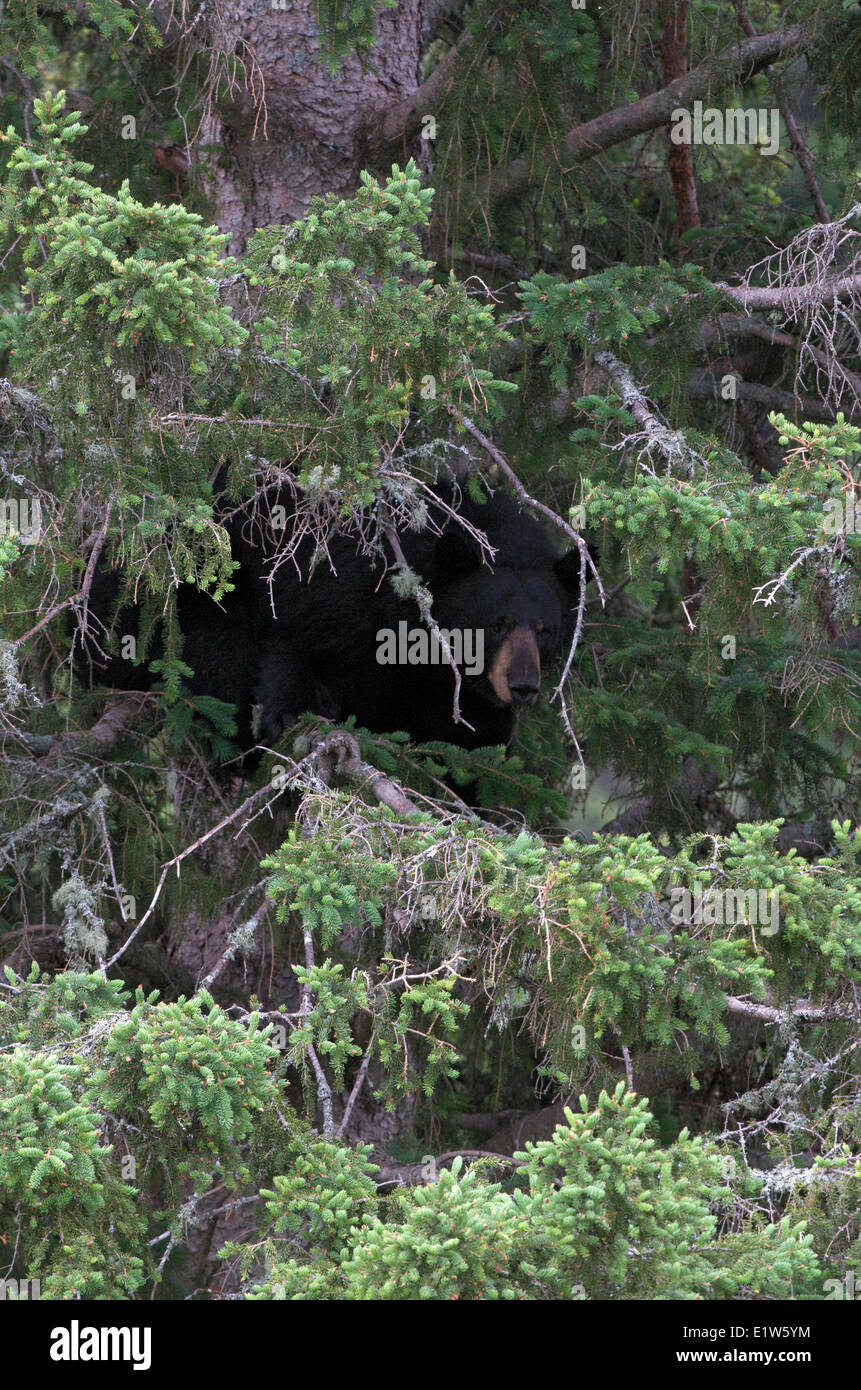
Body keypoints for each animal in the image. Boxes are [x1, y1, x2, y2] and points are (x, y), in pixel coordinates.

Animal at [80, 480, 586, 761]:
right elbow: (298, 643)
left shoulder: (458, 695)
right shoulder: (346, 589)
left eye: (546, 631)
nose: (523, 686)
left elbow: (472, 742)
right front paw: (290, 715)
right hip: (184, 593)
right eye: (496, 624)